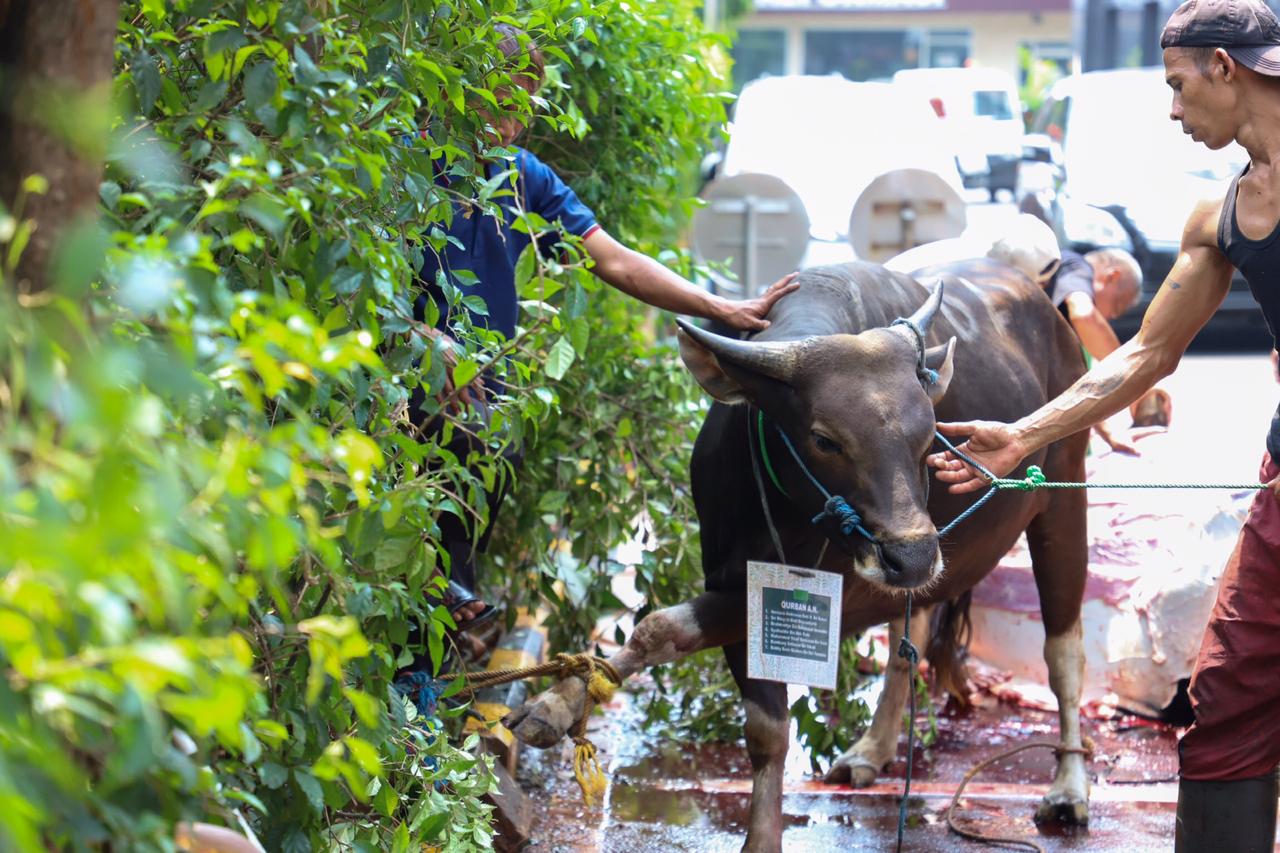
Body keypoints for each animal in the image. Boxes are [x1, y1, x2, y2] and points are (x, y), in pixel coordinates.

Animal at [504, 258, 1085, 850]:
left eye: (930, 438)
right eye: (825, 440)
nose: (913, 558)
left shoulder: (841, 594)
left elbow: (670, 633)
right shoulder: (738, 577)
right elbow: (700, 666)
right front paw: (555, 704)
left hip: (1063, 500)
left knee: (1063, 653)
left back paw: (1068, 788)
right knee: (911, 644)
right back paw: (872, 750)